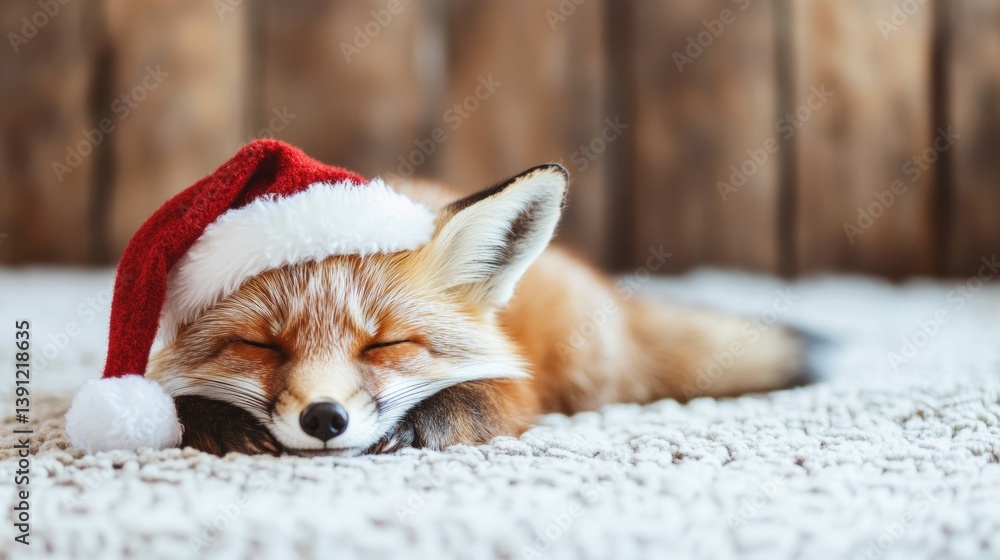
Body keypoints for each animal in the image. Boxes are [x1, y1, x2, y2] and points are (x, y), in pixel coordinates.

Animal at [147, 164, 810, 456]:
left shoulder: (521, 388)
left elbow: (479, 397)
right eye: (259, 345)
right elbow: (170, 401)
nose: (325, 419)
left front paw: (427, 420)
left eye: (387, 344)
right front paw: (219, 419)